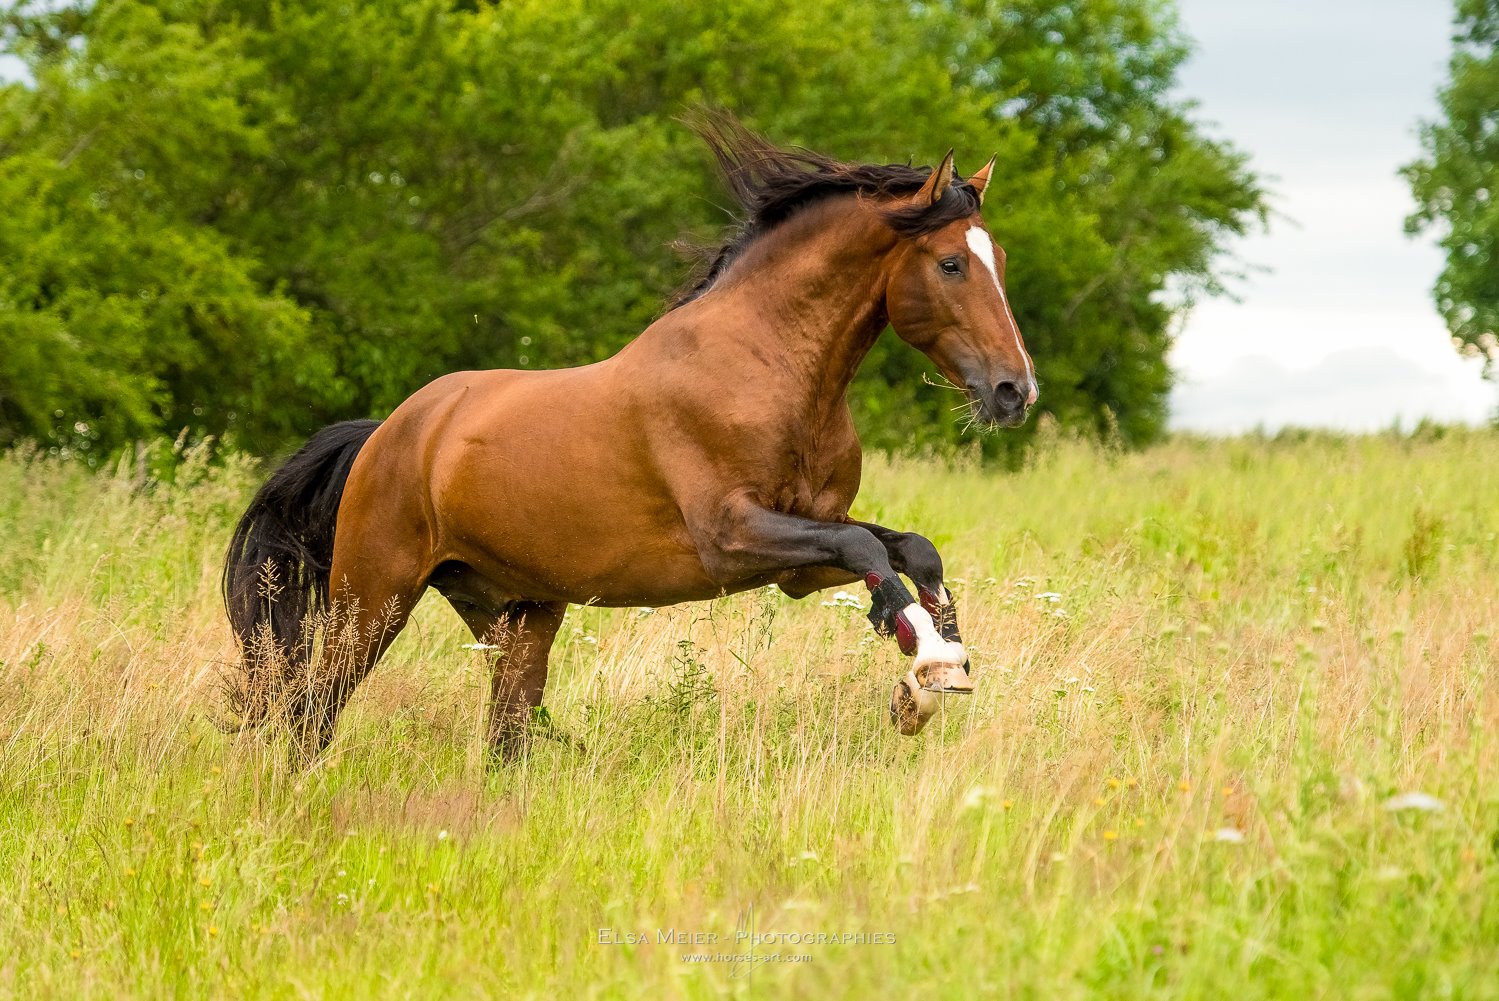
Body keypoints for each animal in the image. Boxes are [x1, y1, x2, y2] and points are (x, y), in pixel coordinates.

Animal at [224, 117, 1031, 758]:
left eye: (999, 261)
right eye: (950, 263)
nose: (1014, 391)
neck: (769, 367)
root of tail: (388, 434)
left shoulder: (800, 556)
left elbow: (907, 550)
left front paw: (943, 652)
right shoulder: (732, 535)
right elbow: (867, 548)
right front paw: (926, 671)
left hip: (515, 612)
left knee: (505, 732)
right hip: (373, 598)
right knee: (313, 711)